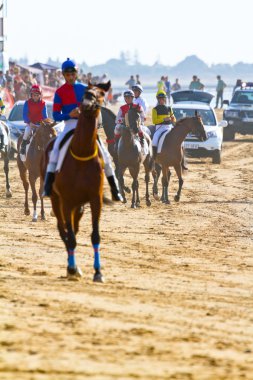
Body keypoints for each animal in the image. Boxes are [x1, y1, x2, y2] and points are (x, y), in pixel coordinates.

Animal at [41, 80, 110, 282]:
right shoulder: (66, 201)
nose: (86, 104)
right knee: (63, 229)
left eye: (101, 93)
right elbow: (69, 236)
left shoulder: (95, 200)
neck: (82, 153)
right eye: (86, 92)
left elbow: (95, 236)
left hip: (78, 205)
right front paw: (72, 269)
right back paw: (71, 267)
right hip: (56, 200)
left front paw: (98, 272)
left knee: (74, 227)